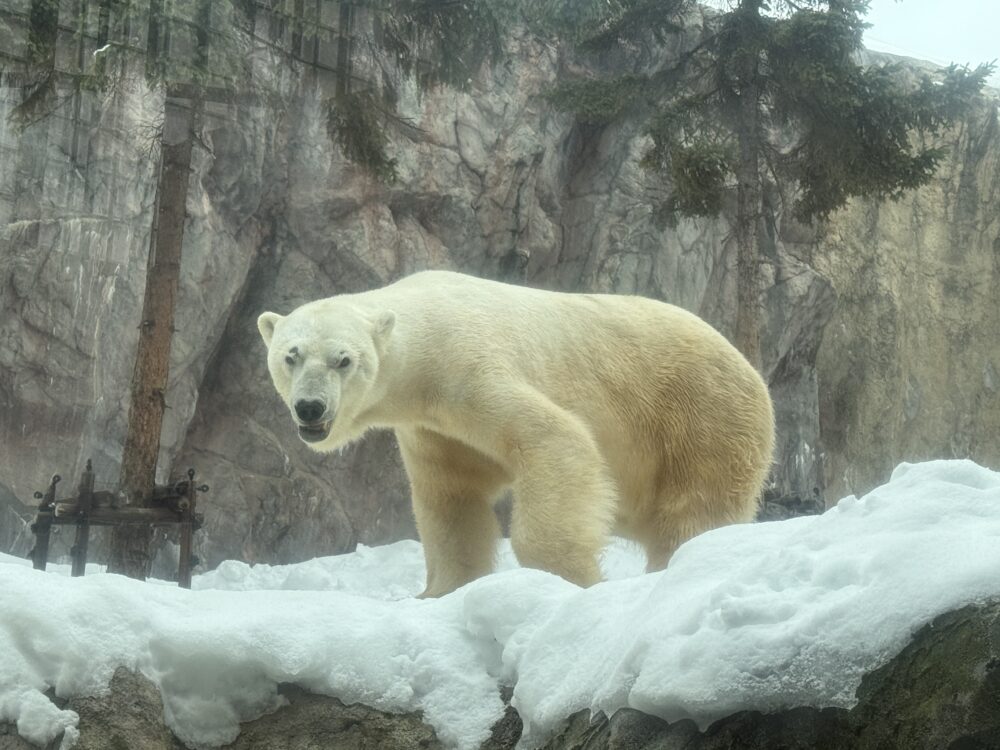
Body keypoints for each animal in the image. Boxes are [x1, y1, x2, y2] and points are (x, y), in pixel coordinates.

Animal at [256, 270, 772, 600]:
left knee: (695, 508)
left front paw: (569, 579)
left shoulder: (469, 369)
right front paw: (438, 592)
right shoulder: (432, 428)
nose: (310, 407)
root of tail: (747, 365)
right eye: (290, 355)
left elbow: (556, 440)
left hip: (698, 416)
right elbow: (451, 498)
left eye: (343, 360)